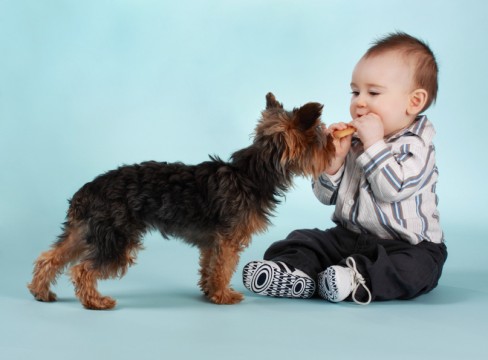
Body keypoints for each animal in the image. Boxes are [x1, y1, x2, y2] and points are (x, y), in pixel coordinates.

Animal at [26, 93, 336, 310]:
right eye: (321, 138)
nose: (333, 146)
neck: (251, 174)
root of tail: (89, 189)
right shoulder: (228, 239)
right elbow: (224, 267)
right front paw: (223, 295)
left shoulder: (213, 240)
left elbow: (210, 266)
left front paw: (210, 291)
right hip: (116, 237)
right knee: (82, 269)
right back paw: (96, 302)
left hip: (86, 230)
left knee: (50, 258)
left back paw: (41, 292)